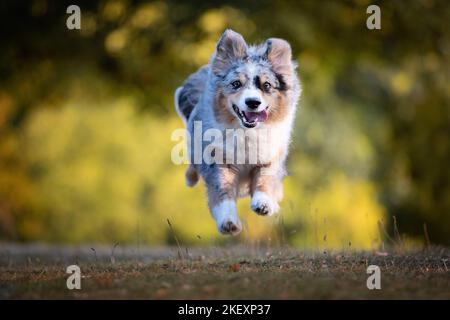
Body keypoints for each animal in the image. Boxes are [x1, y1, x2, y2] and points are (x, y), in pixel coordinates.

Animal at [174, 30, 300, 235]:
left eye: (267, 85)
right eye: (236, 84)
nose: (253, 102)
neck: (246, 132)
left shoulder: (269, 157)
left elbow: (265, 180)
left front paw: (263, 203)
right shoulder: (219, 161)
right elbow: (222, 192)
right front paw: (229, 222)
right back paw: (190, 178)